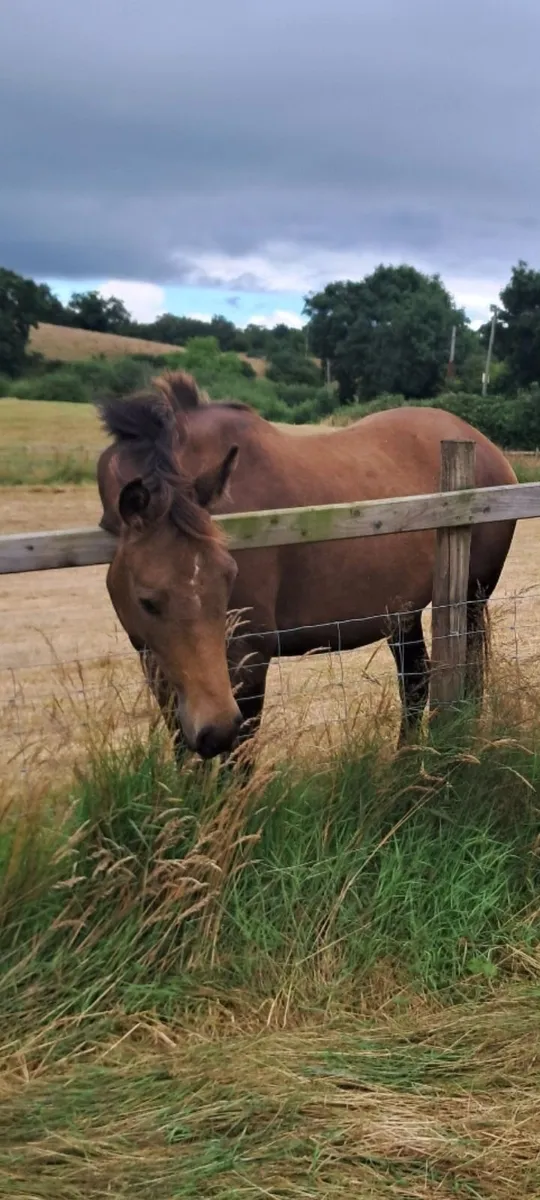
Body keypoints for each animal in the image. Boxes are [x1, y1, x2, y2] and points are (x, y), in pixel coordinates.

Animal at [97, 371, 517, 763]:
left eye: (228, 578)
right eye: (147, 600)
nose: (215, 731)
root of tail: (487, 448)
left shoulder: (248, 660)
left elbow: (239, 759)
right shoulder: (160, 665)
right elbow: (186, 753)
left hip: (470, 600)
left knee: (466, 679)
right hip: (402, 613)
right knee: (415, 682)